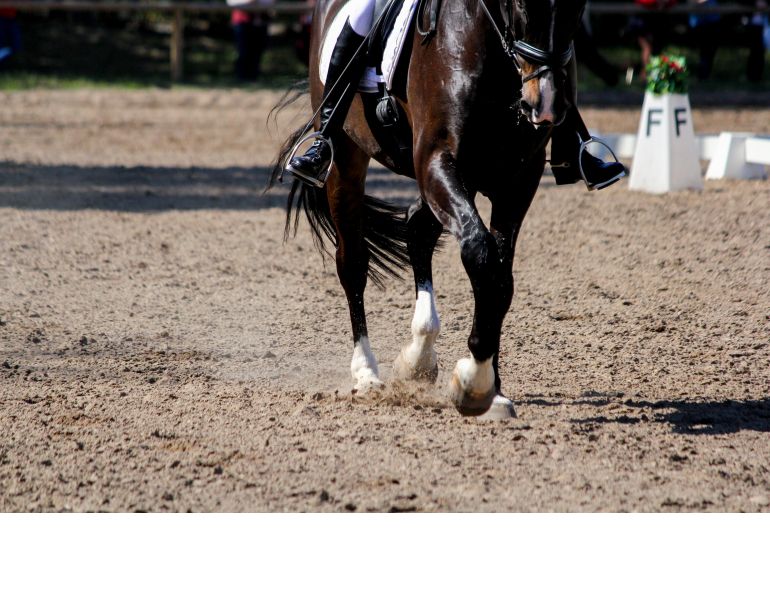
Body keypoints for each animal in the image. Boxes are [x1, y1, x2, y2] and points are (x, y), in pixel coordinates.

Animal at [269, 0, 588, 418]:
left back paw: (418, 358)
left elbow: (501, 278)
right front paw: (474, 383)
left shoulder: (519, 180)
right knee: (353, 264)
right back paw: (367, 374)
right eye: (520, 4)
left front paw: (491, 388)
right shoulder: (437, 159)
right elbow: (481, 255)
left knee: (417, 228)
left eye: (577, 7)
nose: (546, 104)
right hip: (346, 158)